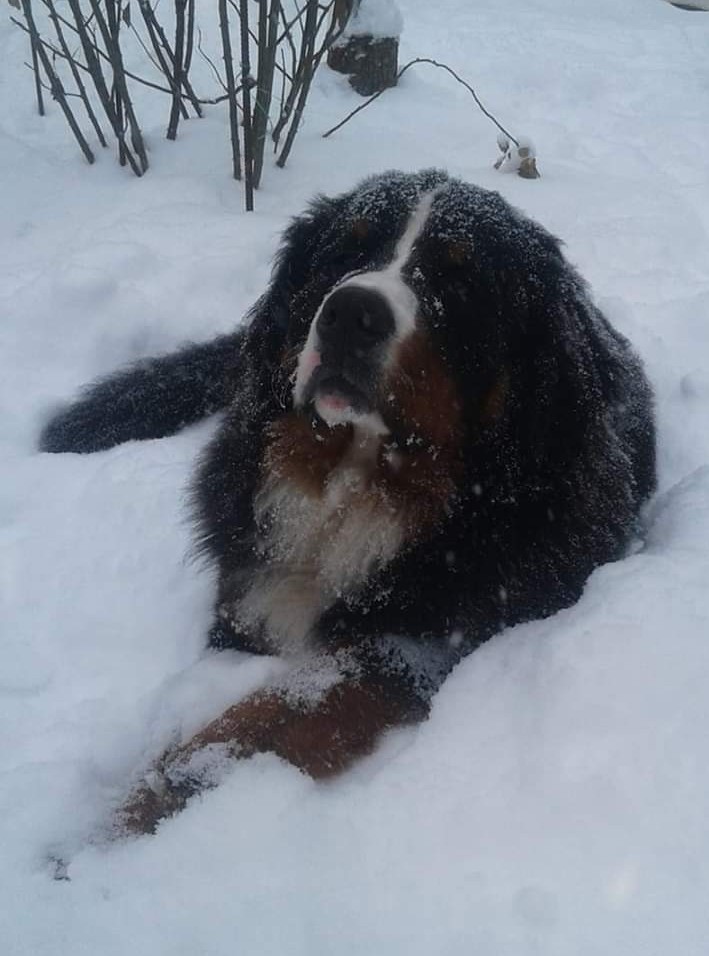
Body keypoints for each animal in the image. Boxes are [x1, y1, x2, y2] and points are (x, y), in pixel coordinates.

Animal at [41, 172, 656, 836]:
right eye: (344, 253)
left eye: (461, 280)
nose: (349, 313)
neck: (354, 485)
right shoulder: (245, 607)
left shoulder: (414, 645)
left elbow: (260, 721)